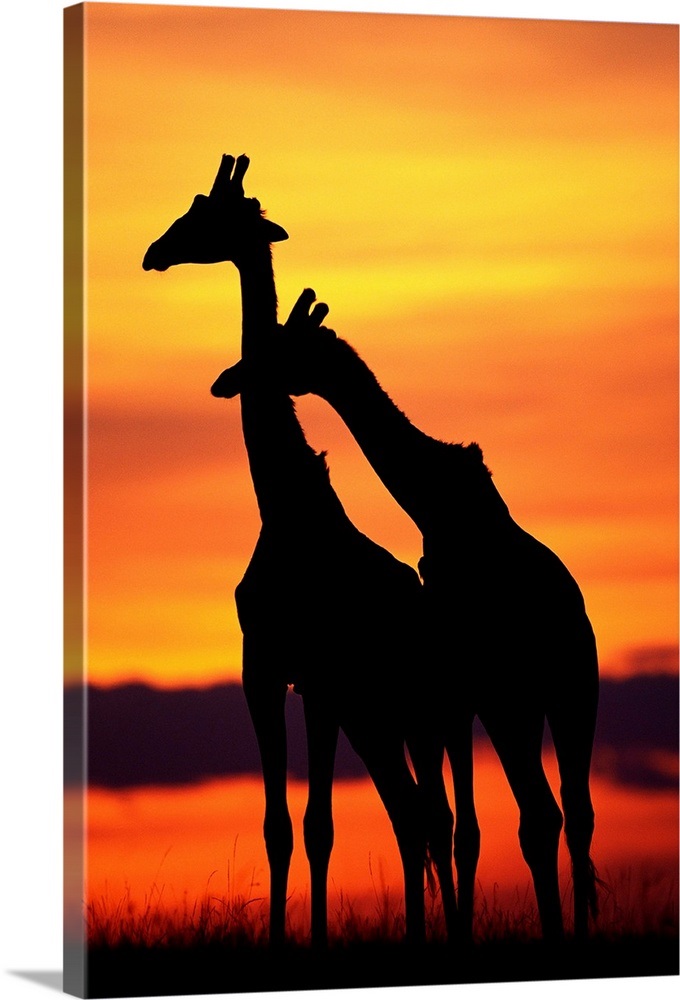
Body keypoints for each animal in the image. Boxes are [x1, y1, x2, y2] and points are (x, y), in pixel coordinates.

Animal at [142, 155, 458, 948]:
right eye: (192, 204)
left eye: (212, 215)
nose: (154, 251)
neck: (283, 507)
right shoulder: (265, 669)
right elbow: (280, 827)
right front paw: (288, 940)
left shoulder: (318, 676)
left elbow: (319, 825)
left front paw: (310, 940)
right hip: (376, 715)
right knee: (411, 814)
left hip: (410, 710)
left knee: (430, 816)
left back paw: (433, 932)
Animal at [213, 310, 601, 943]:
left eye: (283, 346)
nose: (226, 380)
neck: (432, 499)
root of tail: (564, 624)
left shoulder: (464, 692)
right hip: (571, 695)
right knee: (574, 814)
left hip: (510, 699)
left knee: (535, 815)